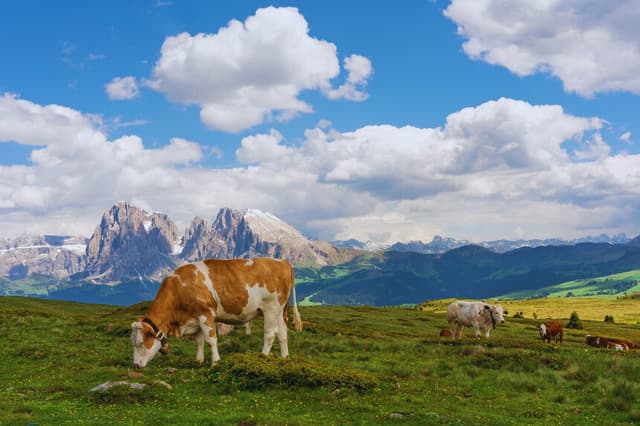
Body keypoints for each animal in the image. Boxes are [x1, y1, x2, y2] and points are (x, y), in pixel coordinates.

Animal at [130, 258, 302, 368]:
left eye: (140, 343)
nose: (136, 366)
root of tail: (282, 262)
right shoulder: (196, 318)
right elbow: (199, 341)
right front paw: (198, 361)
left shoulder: (205, 314)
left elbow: (211, 340)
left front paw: (215, 363)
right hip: (280, 310)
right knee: (282, 333)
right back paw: (285, 358)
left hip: (270, 308)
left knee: (270, 334)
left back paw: (262, 357)